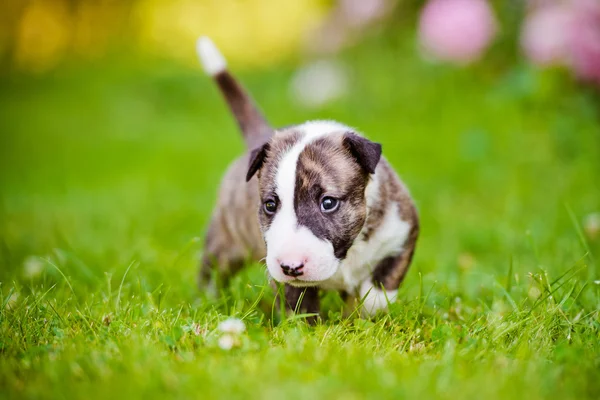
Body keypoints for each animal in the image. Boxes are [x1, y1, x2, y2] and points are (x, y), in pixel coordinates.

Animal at [197, 38, 418, 318]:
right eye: (270, 205)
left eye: (328, 202)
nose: (291, 266)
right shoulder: (284, 279)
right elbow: (300, 307)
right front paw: (308, 327)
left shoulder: (402, 234)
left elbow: (381, 287)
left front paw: (364, 314)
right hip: (225, 241)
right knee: (211, 272)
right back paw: (205, 302)